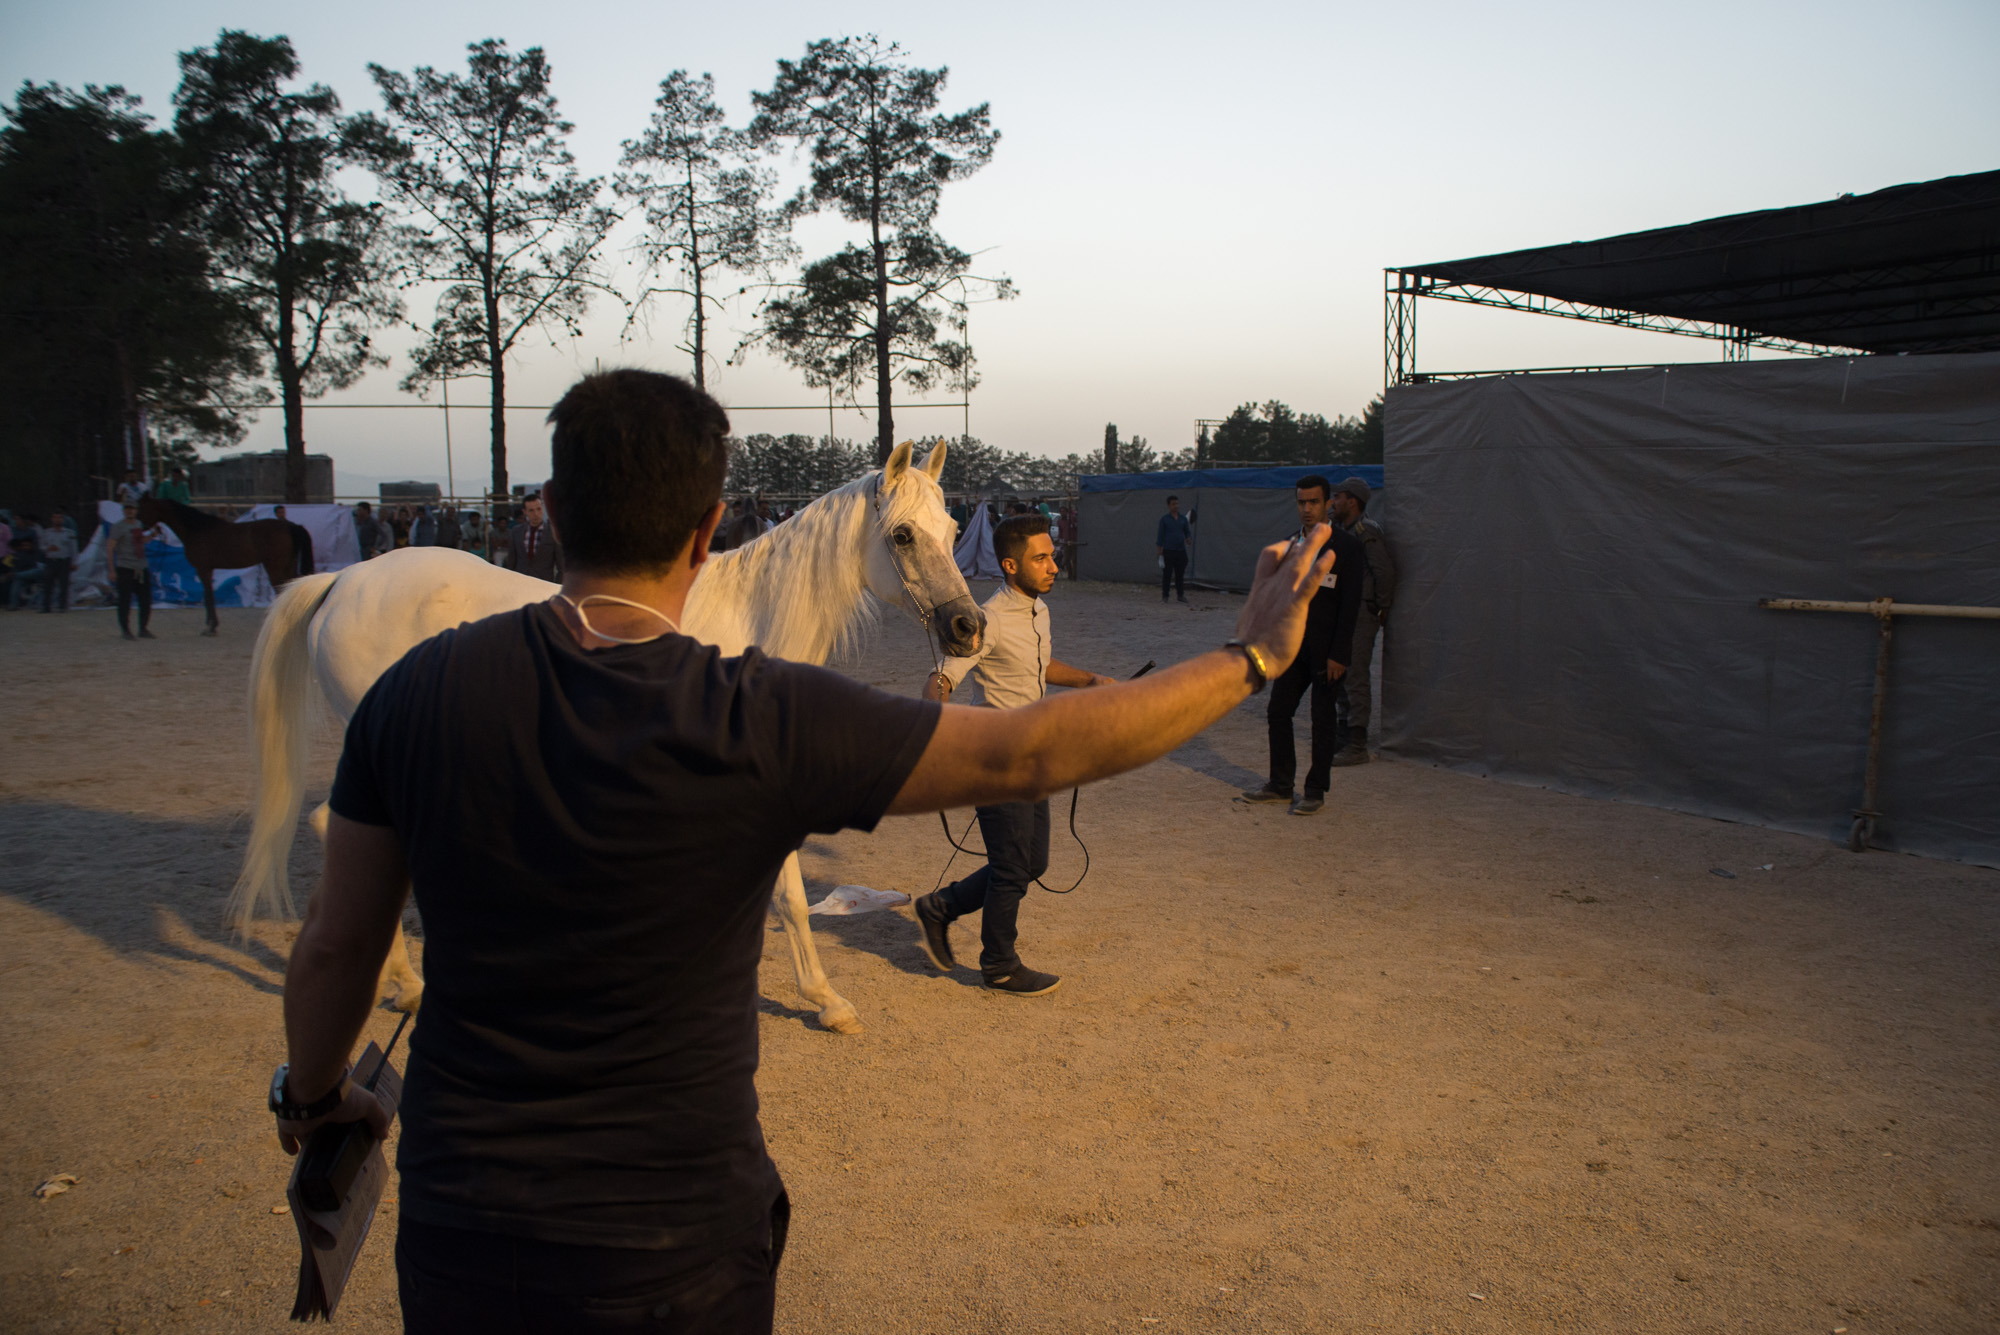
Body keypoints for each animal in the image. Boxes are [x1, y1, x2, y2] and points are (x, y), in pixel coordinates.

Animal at [137, 495, 308, 635]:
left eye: (144, 508)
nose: (140, 527)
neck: (197, 529)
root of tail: (290, 526)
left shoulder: (203, 569)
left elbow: (208, 597)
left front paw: (210, 627)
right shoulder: (208, 570)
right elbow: (209, 595)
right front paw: (212, 625)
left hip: (274, 567)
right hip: (288, 565)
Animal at [234, 443, 984, 1039]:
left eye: (954, 528)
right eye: (903, 535)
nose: (968, 627)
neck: (747, 622)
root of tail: (340, 581)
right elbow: (791, 897)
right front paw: (826, 1001)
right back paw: (409, 986)